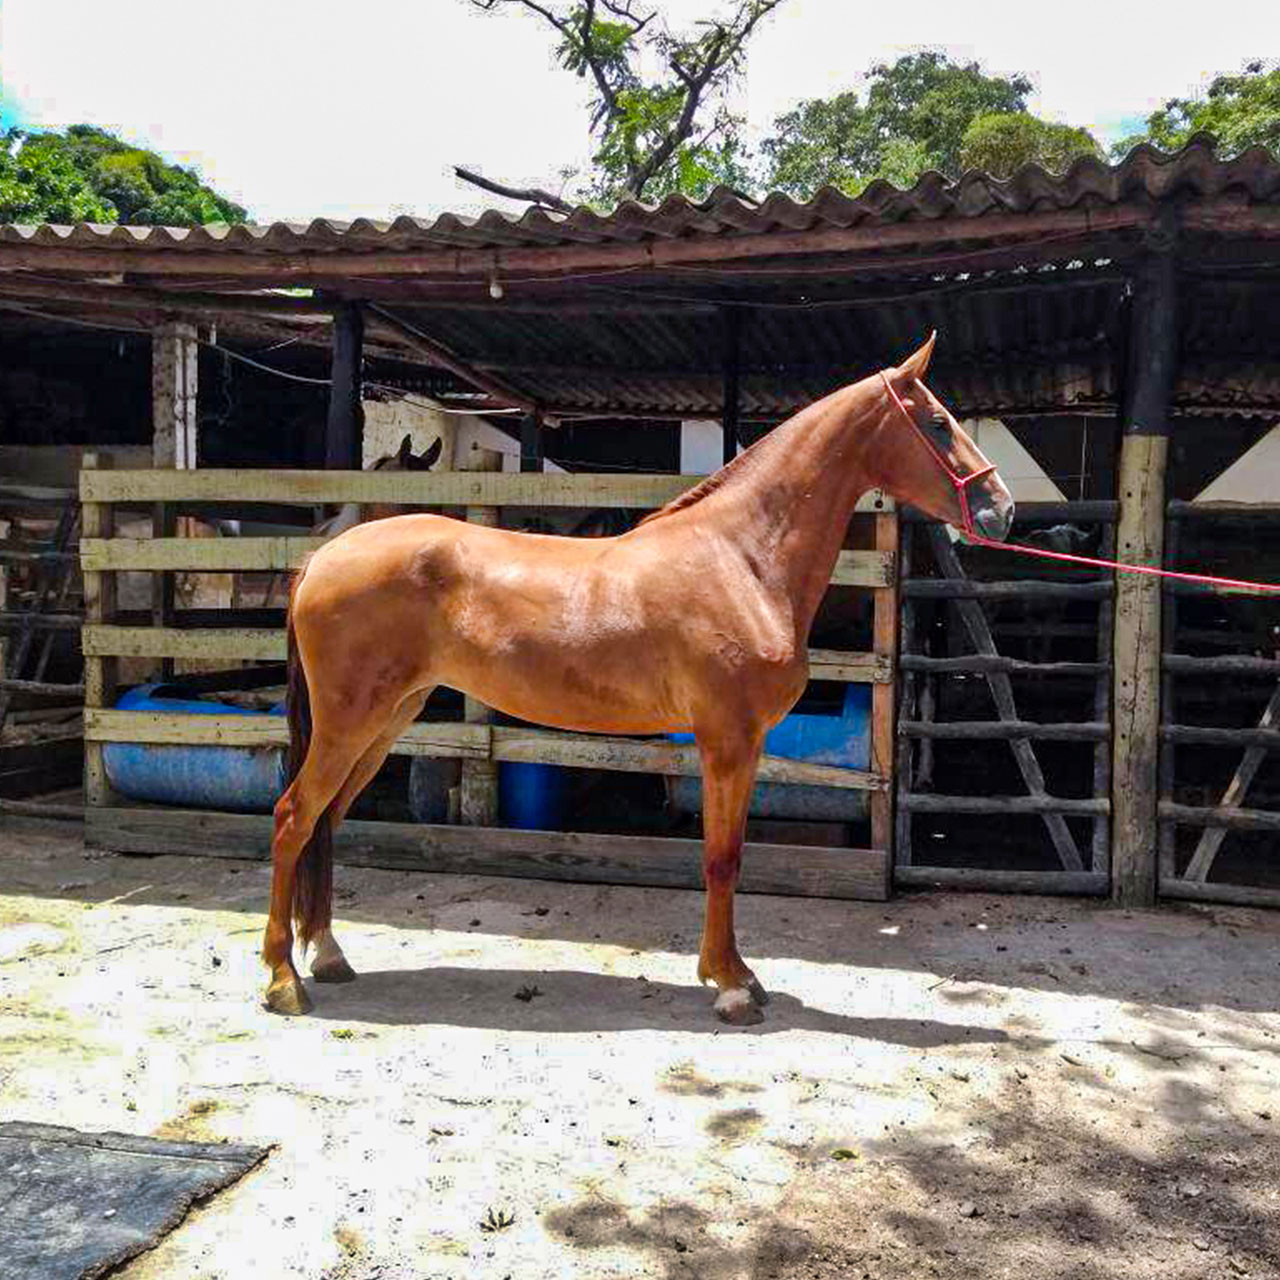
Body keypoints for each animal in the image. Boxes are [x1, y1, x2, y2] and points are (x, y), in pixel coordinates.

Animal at [264, 335, 1013, 1024]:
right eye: (938, 422)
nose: (1000, 509)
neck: (742, 558)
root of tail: (325, 555)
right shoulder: (725, 741)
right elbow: (721, 859)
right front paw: (730, 987)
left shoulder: (745, 745)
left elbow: (730, 855)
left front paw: (735, 974)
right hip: (350, 722)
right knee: (295, 816)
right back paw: (282, 980)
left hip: (388, 718)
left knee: (326, 819)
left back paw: (327, 955)